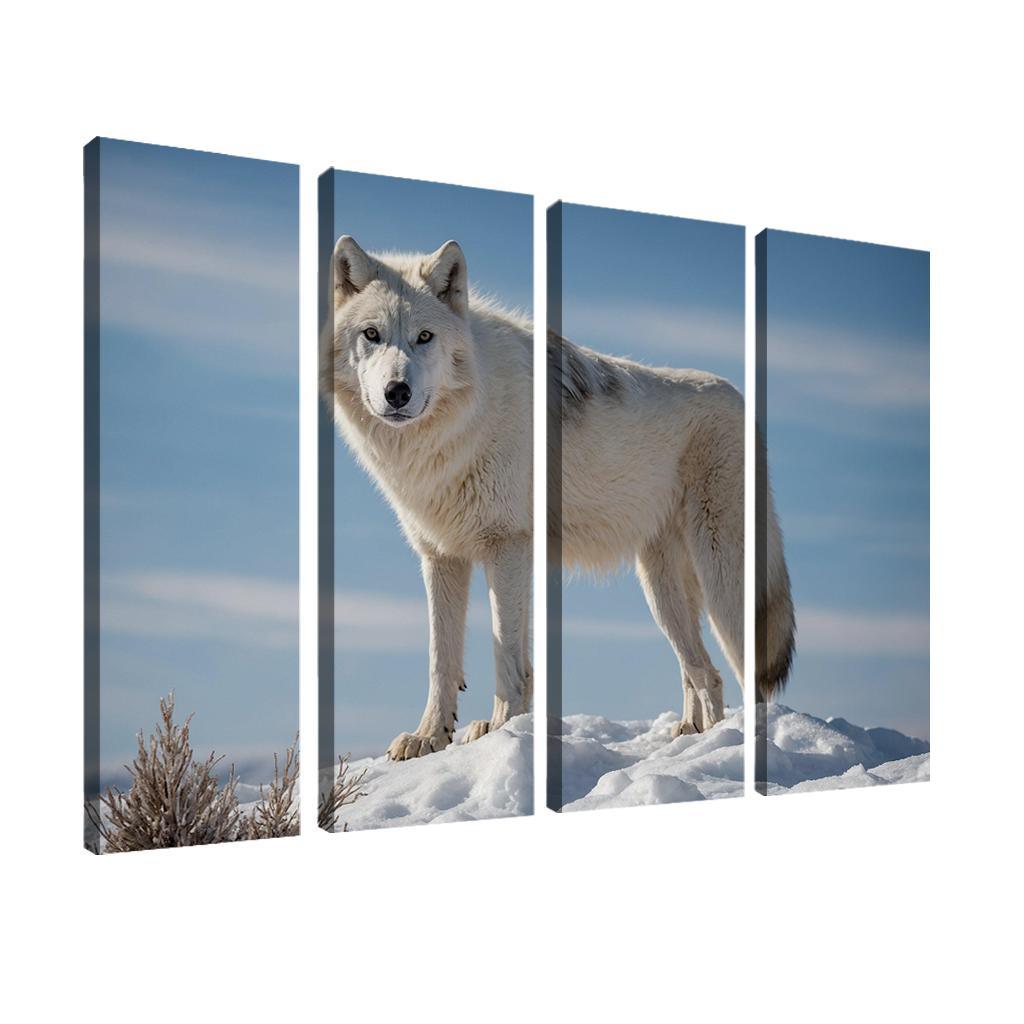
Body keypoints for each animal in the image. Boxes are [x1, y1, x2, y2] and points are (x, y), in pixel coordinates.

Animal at [322, 236, 533, 760]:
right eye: (372, 334)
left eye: (424, 337)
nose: (397, 391)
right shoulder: (441, 554)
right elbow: (442, 657)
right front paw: (430, 736)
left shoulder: (506, 544)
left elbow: (506, 650)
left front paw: (506, 728)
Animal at [551, 334, 795, 734]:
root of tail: (739, 397)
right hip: (662, 585)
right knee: (695, 667)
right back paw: (689, 731)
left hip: (717, 570)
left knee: (732, 673)